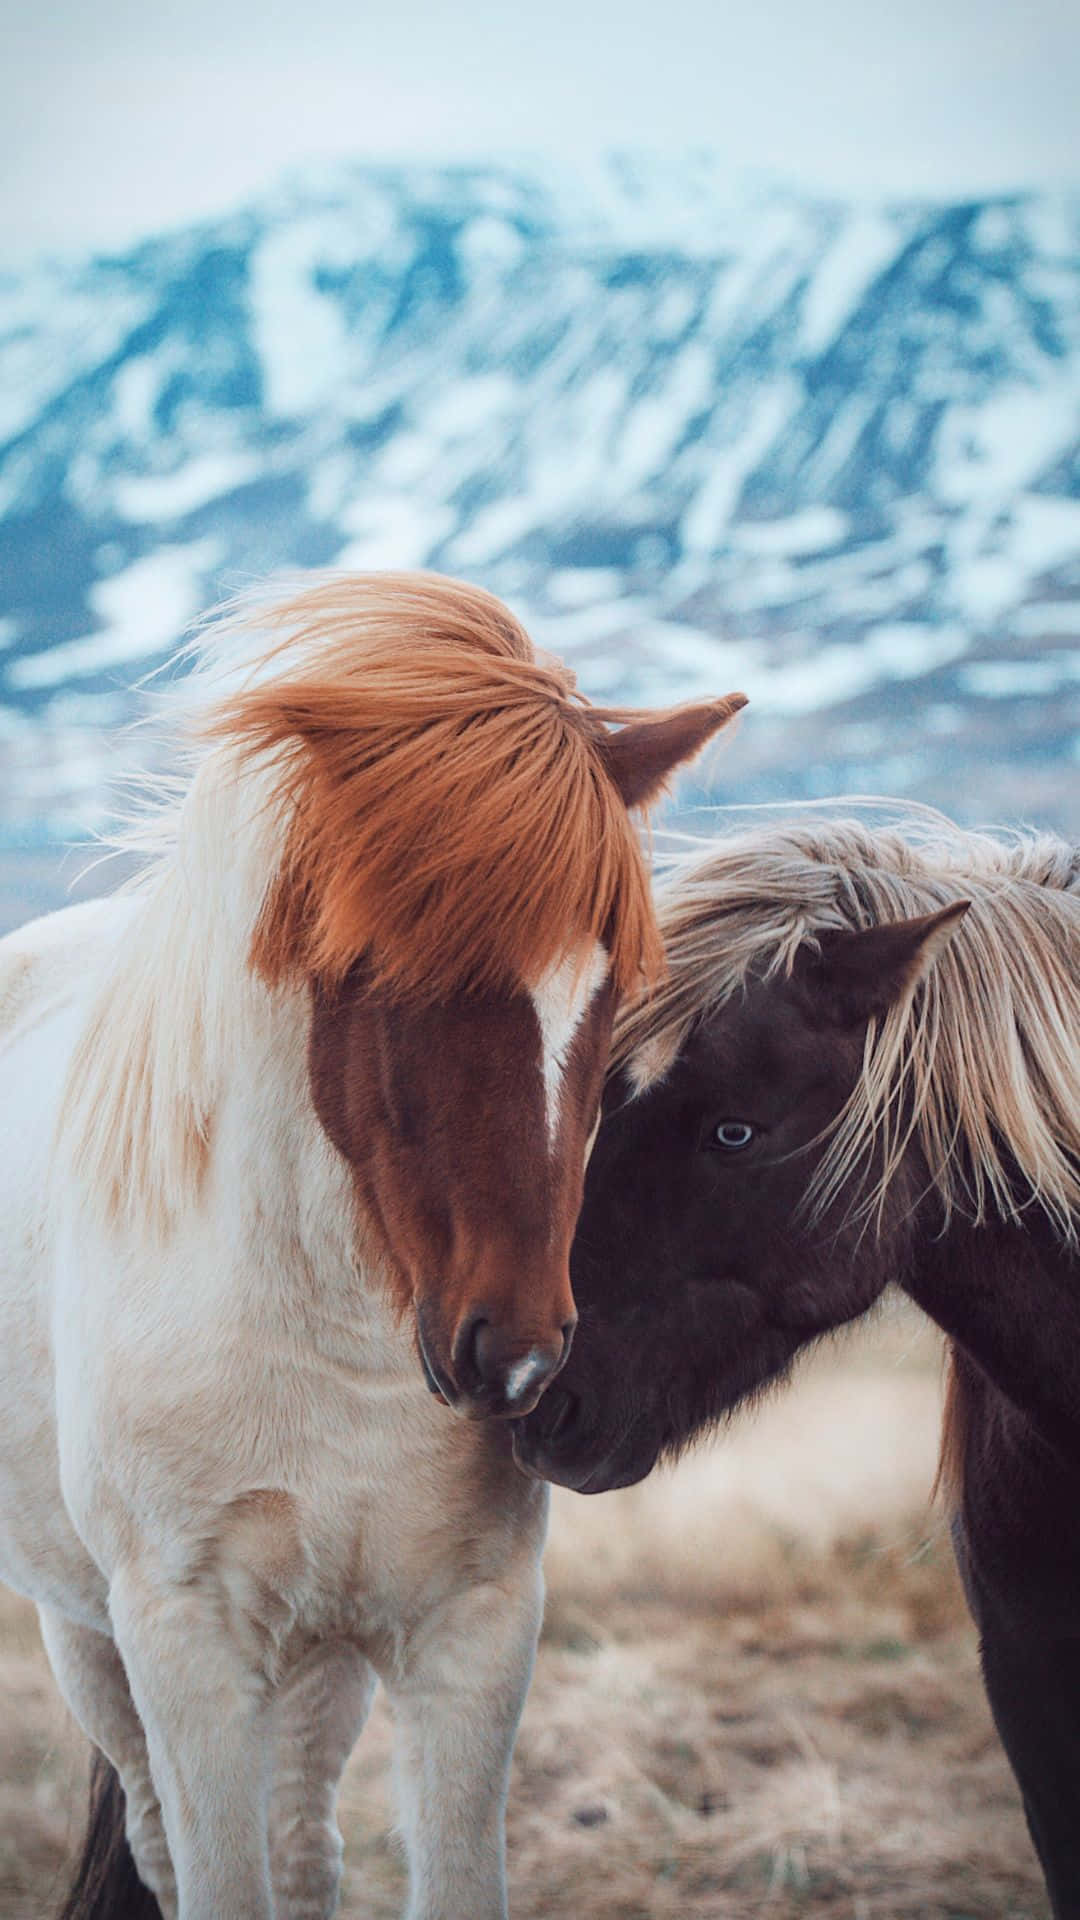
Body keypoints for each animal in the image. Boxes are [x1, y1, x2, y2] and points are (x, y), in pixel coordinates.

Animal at [0, 569, 745, 1920]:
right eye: (379, 968)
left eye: (612, 991)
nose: (517, 1358)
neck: (332, 1344)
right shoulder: (185, 1646)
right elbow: (214, 1877)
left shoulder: (472, 1630)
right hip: (87, 1635)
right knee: (161, 1840)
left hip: (316, 1657)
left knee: (304, 1847)